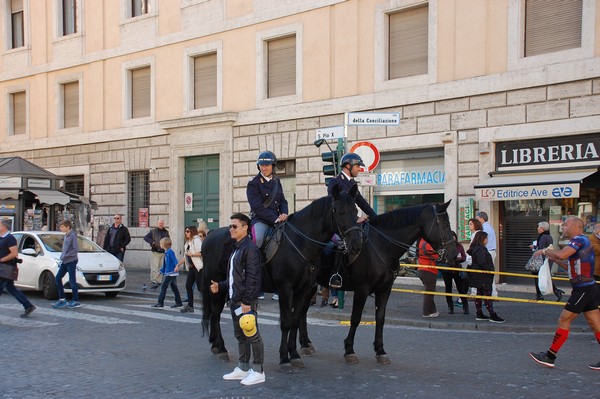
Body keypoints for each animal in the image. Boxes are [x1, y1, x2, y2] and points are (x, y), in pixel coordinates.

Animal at [202, 186, 364, 370]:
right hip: (215, 284)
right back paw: (221, 348)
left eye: (356, 211)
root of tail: (210, 235)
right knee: (216, 313)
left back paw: (215, 345)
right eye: (340, 211)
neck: (301, 243)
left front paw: (294, 354)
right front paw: (284, 358)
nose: (356, 245)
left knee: (214, 313)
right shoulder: (285, 288)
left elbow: (295, 320)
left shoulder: (303, 289)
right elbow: (286, 322)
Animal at [300, 202, 454, 364]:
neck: (382, 246)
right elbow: (355, 318)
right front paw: (349, 350)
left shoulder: (384, 290)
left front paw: (380, 351)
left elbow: (380, 318)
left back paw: (306, 343)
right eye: (445, 224)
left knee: (302, 311)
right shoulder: (362, 290)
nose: (454, 254)